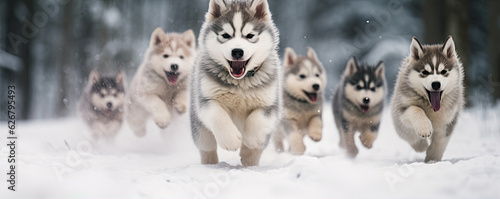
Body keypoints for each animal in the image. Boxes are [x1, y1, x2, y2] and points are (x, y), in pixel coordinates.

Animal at [189, 0, 282, 166]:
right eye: (226, 35)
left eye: (250, 35)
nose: (237, 51)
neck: (240, 82)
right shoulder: (206, 99)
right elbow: (217, 115)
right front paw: (231, 140)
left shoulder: (270, 103)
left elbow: (257, 120)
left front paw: (250, 141)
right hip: (200, 130)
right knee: (207, 147)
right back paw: (210, 164)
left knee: (257, 149)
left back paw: (249, 157)